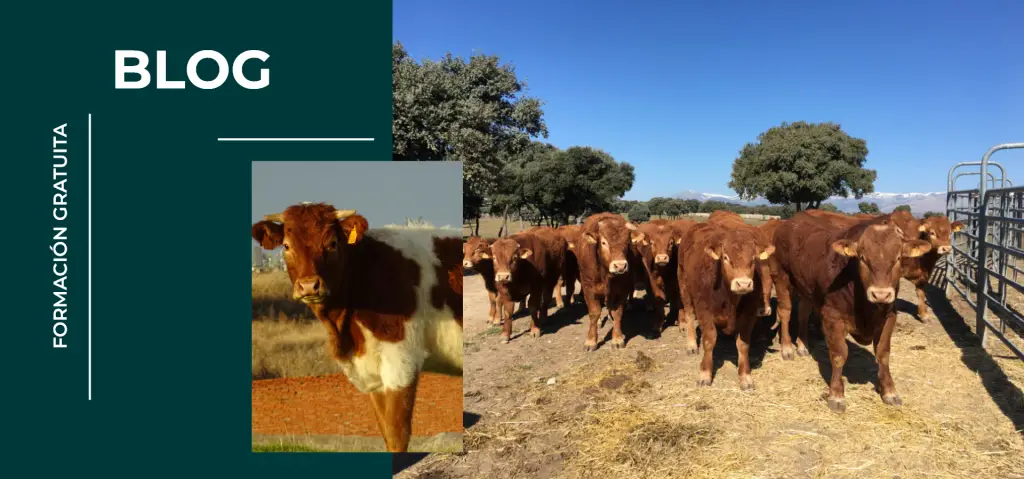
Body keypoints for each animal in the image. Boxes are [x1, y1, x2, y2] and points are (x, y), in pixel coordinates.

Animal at [251, 203, 463, 452]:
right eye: (286, 246)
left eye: (332, 243)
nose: (309, 285)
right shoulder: (374, 373)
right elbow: (386, 433)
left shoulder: (401, 360)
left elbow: (398, 435)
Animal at [576, 213, 643, 351]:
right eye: (603, 242)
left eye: (627, 243)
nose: (620, 266)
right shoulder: (588, 288)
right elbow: (594, 313)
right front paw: (591, 341)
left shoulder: (622, 290)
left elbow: (617, 312)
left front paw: (617, 338)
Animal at [677, 221, 774, 389]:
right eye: (726, 257)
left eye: (753, 259)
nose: (743, 284)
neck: (729, 299)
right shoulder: (704, 310)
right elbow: (709, 340)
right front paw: (705, 374)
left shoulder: (749, 314)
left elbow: (743, 344)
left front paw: (745, 377)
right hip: (684, 286)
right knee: (689, 314)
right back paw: (691, 345)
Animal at [770, 211, 931, 412]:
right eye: (862, 257)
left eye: (898, 258)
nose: (881, 294)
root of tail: (791, 221)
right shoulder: (832, 317)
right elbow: (839, 355)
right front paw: (837, 395)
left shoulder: (889, 316)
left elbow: (883, 354)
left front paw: (889, 391)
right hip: (781, 276)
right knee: (785, 311)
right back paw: (787, 348)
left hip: (806, 287)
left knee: (803, 314)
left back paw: (802, 345)